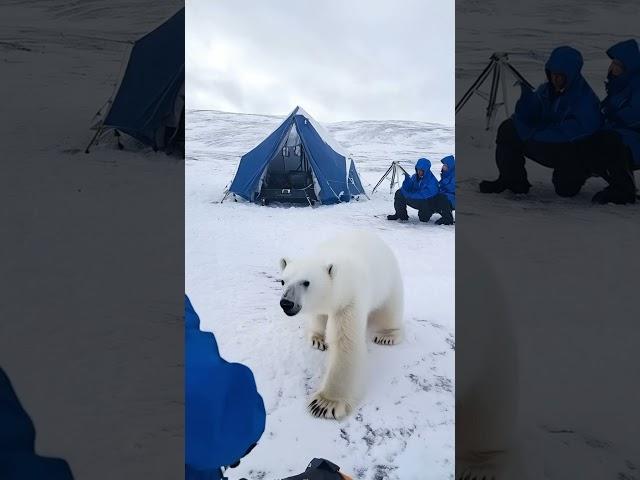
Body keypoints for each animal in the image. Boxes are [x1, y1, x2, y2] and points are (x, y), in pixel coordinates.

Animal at [278, 229, 402, 420]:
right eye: (282, 281)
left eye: (306, 282)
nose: (286, 303)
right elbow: (318, 316)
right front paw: (318, 340)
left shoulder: (350, 300)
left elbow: (346, 343)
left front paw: (324, 403)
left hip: (388, 282)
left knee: (390, 310)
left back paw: (387, 336)